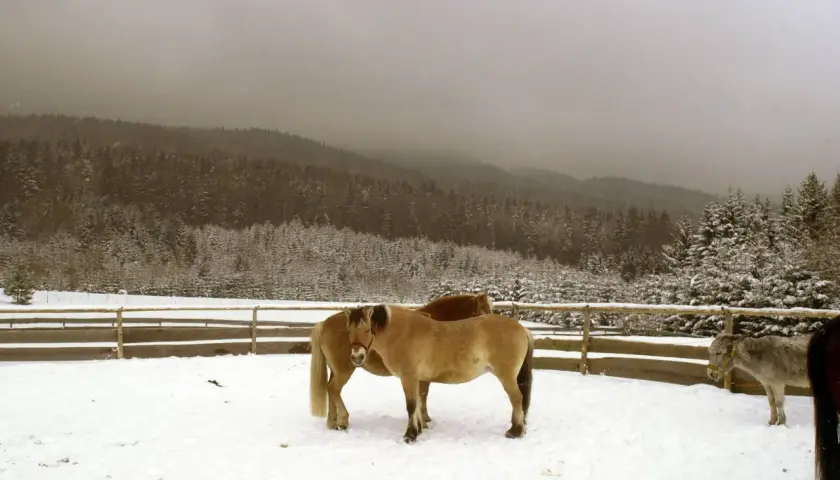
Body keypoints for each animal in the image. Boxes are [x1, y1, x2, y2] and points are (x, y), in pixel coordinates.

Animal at [309, 292, 494, 431]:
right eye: (480, 313)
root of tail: (325, 323)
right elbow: (423, 395)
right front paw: (424, 419)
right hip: (345, 369)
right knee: (333, 389)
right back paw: (343, 419)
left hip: (336, 369)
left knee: (331, 390)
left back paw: (333, 422)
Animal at [345, 304, 534, 443]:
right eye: (349, 331)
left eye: (367, 330)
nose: (356, 357)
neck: (401, 333)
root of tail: (522, 328)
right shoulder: (418, 380)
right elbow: (419, 404)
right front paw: (418, 430)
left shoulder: (408, 378)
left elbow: (411, 405)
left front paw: (410, 435)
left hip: (507, 376)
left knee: (517, 399)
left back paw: (515, 431)